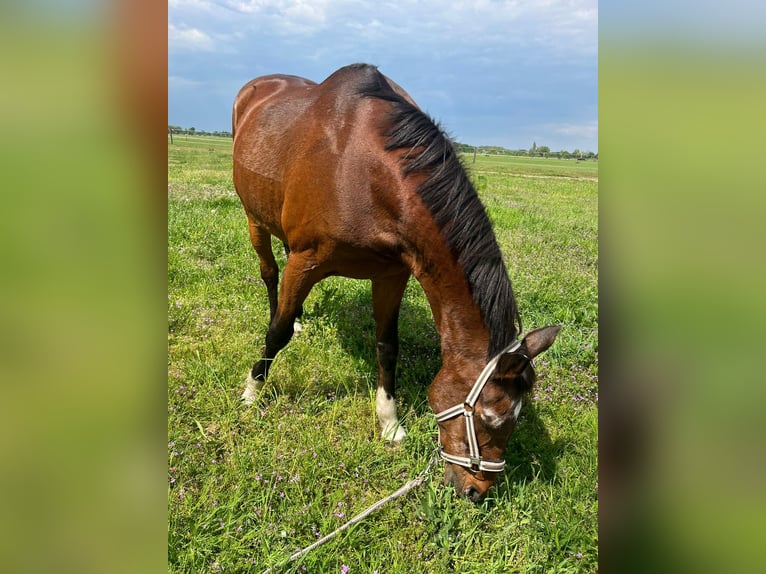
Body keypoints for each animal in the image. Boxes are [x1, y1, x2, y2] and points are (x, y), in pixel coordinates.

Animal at [231, 64, 560, 504]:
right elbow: (277, 332)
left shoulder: (391, 274)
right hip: (255, 220)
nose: (477, 491)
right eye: (491, 417)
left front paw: (389, 421)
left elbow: (388, 346)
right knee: (270, 275)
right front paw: (253, 389)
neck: (361, 169)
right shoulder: (306, 261)